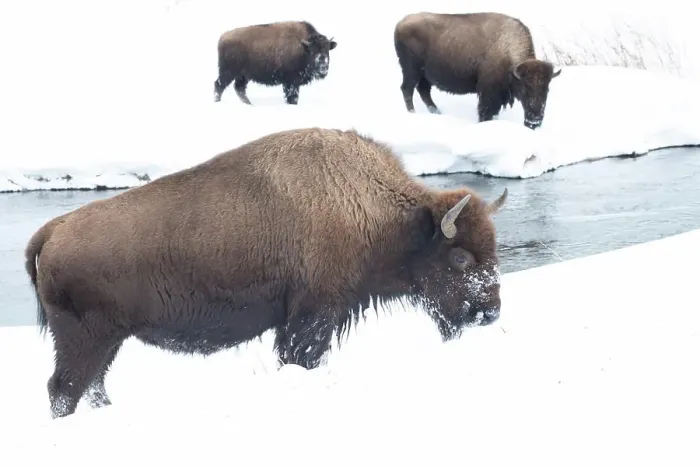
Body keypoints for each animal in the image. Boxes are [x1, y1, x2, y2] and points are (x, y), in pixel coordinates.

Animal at [25, 127, 508, 419]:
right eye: (460, 258)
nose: (490, 312)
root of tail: (52, 230)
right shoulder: (313, 314)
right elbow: (301, 356)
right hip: (84, 340)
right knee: (63, 388)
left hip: (108, 341)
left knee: (91, 386)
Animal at [394, 12, 561, 129]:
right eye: (525, 89)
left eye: (547, 90)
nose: (535, 120)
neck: (507, 50)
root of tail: (400, 25)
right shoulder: (489, 93)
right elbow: (485, 111)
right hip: (411, 71)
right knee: (407, 89)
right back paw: (413, 113)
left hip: (424, 75)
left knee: (423, 91)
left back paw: (437, 112)